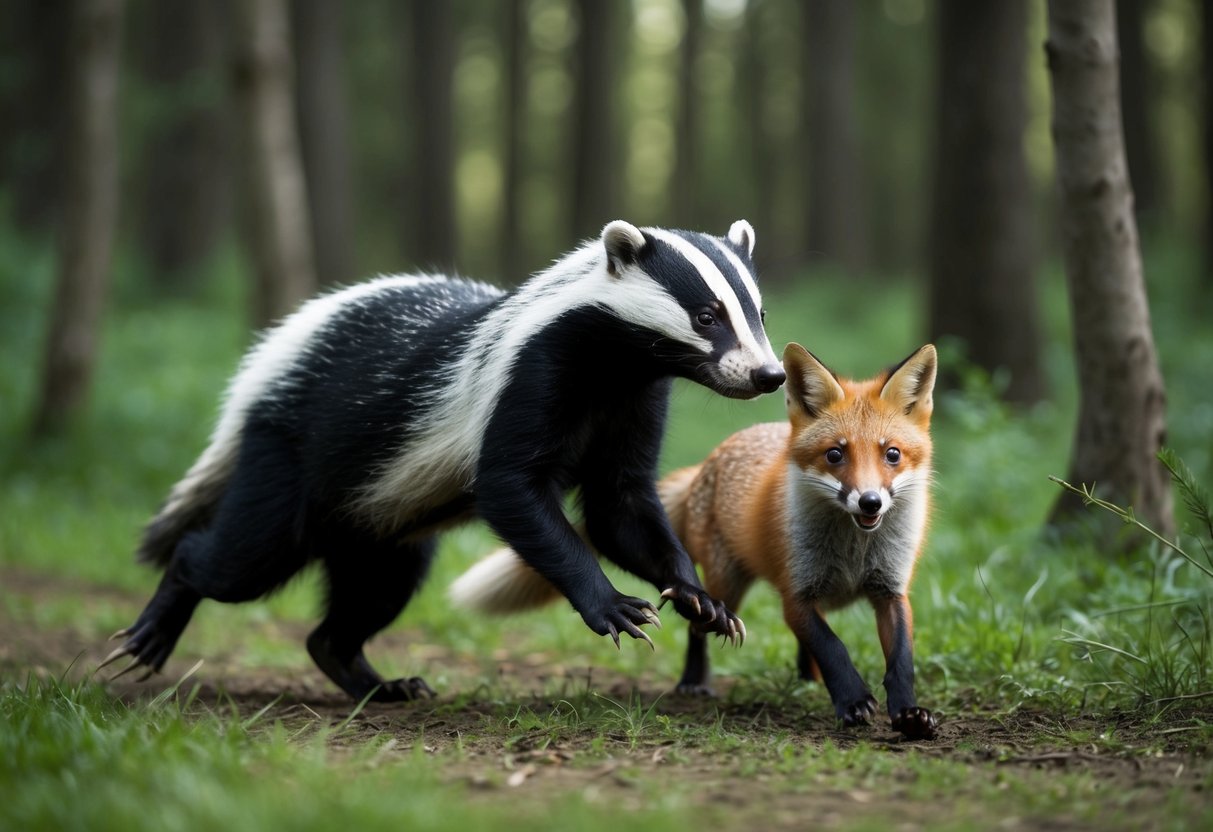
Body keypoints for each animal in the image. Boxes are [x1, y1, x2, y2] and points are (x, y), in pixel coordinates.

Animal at [450, 342, 938, 740]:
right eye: (835, 455)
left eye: (892, 454)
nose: (870, 502)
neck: (854, 552)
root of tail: (713, 457)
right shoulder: (796, 593)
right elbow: (833, 647)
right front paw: (853, 701)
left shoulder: (891, 591)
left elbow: (901, 660)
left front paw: (908, 715)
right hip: (725, 584)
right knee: (699, 627)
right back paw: (695, 683)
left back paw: (805, 680)